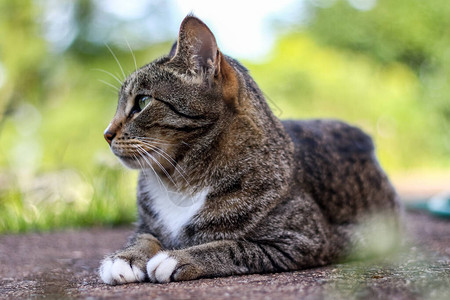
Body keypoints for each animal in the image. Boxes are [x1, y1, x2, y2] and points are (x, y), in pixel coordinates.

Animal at [97, 15, 398, 284]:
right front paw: (124, 258)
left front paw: (178, 257)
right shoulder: (145, 225)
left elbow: (232, 246)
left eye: (143, 102)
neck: (179, 182)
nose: (106, 134)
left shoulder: (301, 240)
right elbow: (143, 237)